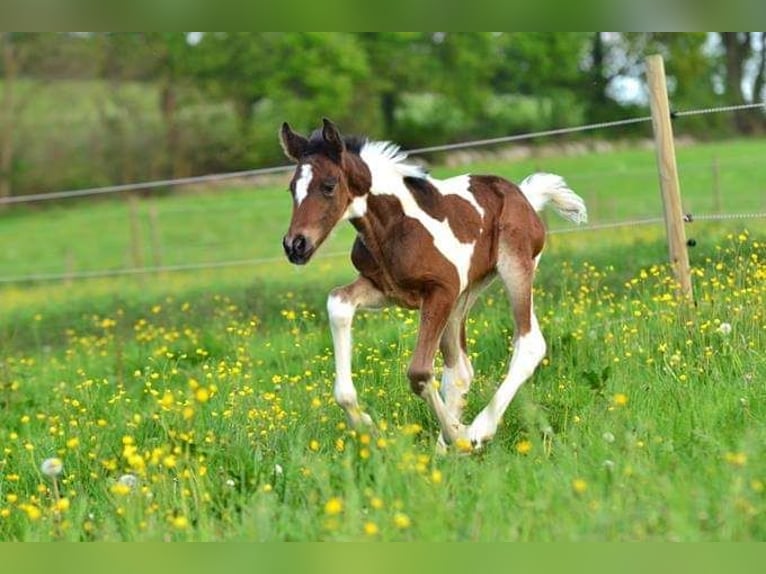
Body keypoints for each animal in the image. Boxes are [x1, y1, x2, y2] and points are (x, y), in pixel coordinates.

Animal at [280, 118, 587, 452]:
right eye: (291, 188)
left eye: (329, 185)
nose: (295, 245)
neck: (392, 227)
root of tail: (526, 196)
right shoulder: (384, 289)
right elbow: (337, 303)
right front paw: (366, 426)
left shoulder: (440, 291)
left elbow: (419, 372)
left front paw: (460, 434)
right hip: (465, 295)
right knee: (461, 369)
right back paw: (444, 450)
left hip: (514, 268)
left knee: (529, 343)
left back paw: (477, 431)